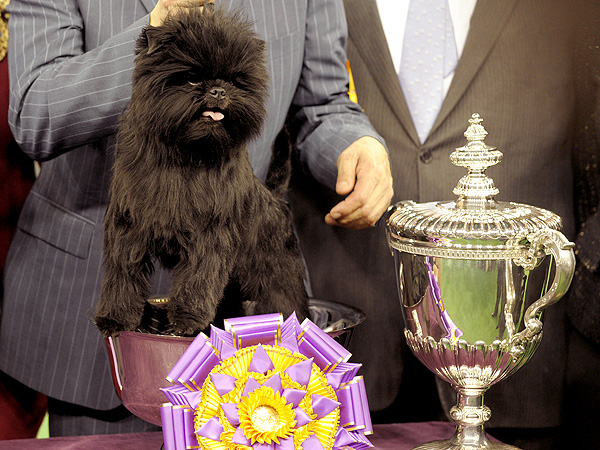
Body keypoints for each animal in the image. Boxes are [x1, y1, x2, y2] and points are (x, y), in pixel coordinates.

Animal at [95, 6, 310, 338]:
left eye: (235, 81)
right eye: (193, 79)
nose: (219, 90)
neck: (187, 151)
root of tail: (272, 197)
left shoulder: (210, 235)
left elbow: (199, 278)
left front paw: (186, 320)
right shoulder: (127, 227)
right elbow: (122, 275)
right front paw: (116, 317)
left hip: (276, 268)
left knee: (282, 296)